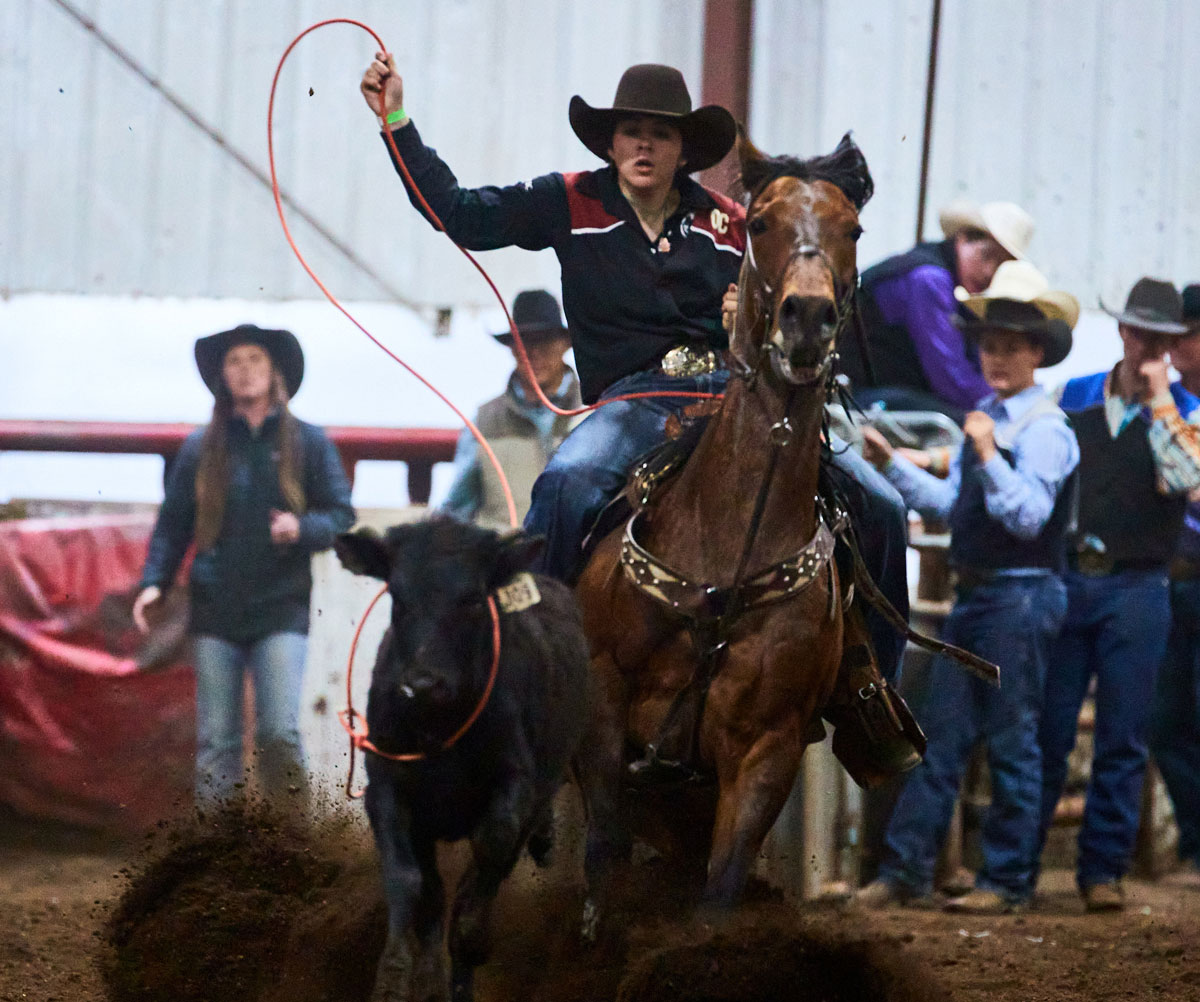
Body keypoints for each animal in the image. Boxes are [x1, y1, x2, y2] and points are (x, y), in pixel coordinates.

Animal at [571, 131, 873, 926]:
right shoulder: (603, 700)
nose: (807, 317)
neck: (727, 555)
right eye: (760, 223)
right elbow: (600, 858)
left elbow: (719, 890)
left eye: (853, 229)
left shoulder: (766, 749)